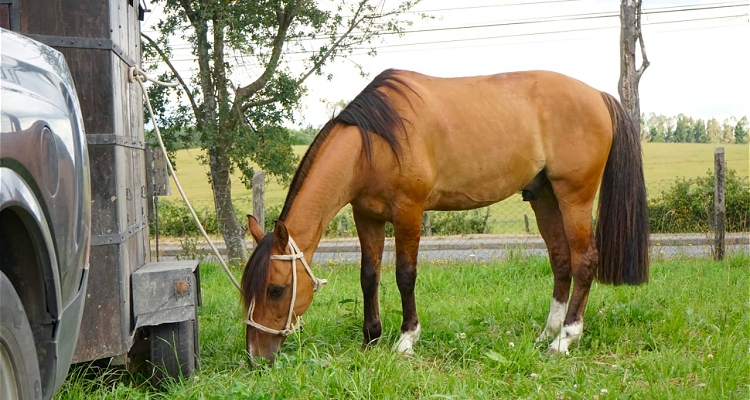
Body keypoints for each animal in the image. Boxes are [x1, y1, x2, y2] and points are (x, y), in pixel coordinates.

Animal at [242, 69, 652, 362]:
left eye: (276, 289)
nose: (255, 357)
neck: (373, 142)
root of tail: (597, 96)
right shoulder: (366, 216)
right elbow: (369, 276)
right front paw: (371, 339)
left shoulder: (408, 212)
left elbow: (404, 275)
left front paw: (406, 339)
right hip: (545, 198)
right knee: (562, 261)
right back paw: (547, 333)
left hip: (574, 196)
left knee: (584, 261)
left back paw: (565, 340)